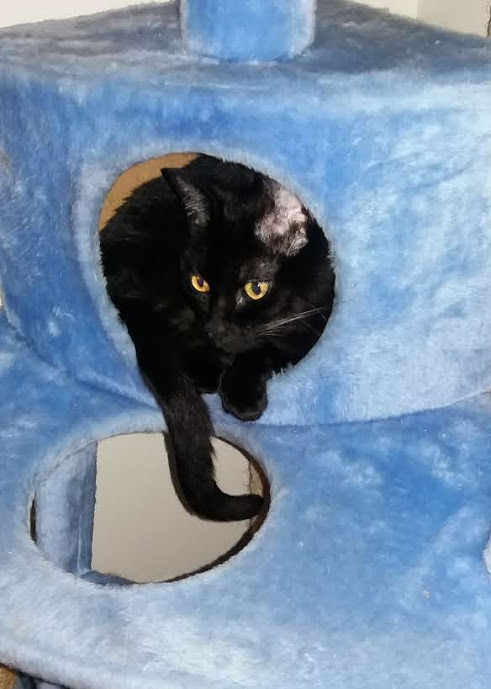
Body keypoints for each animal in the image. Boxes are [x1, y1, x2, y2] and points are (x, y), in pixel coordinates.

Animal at [100, 155, 335, 521]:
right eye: (200, 283)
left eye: (255, 289)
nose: (215, 328)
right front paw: (241, 395)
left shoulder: (316, 319)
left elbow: (269, 346)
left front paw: (240, 388)